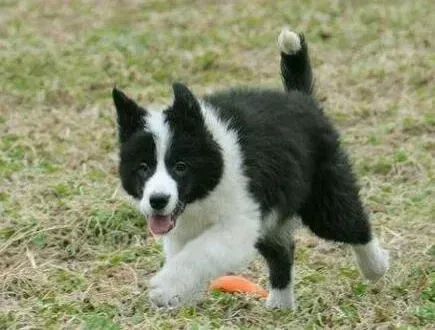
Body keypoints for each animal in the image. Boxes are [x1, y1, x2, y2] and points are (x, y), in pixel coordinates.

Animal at [112, 28, 392, 310]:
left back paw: (376, 266)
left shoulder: (239, 223)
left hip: (322, 196)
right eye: (143, 168)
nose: (157, 200)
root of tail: (300, 98)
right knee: (282, 251)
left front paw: (166, 287)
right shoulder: (183, 229)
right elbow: (183, 253)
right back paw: (280, 303)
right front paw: (180, 292)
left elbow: (202, 251)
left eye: (180, 167)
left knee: (353, 224)